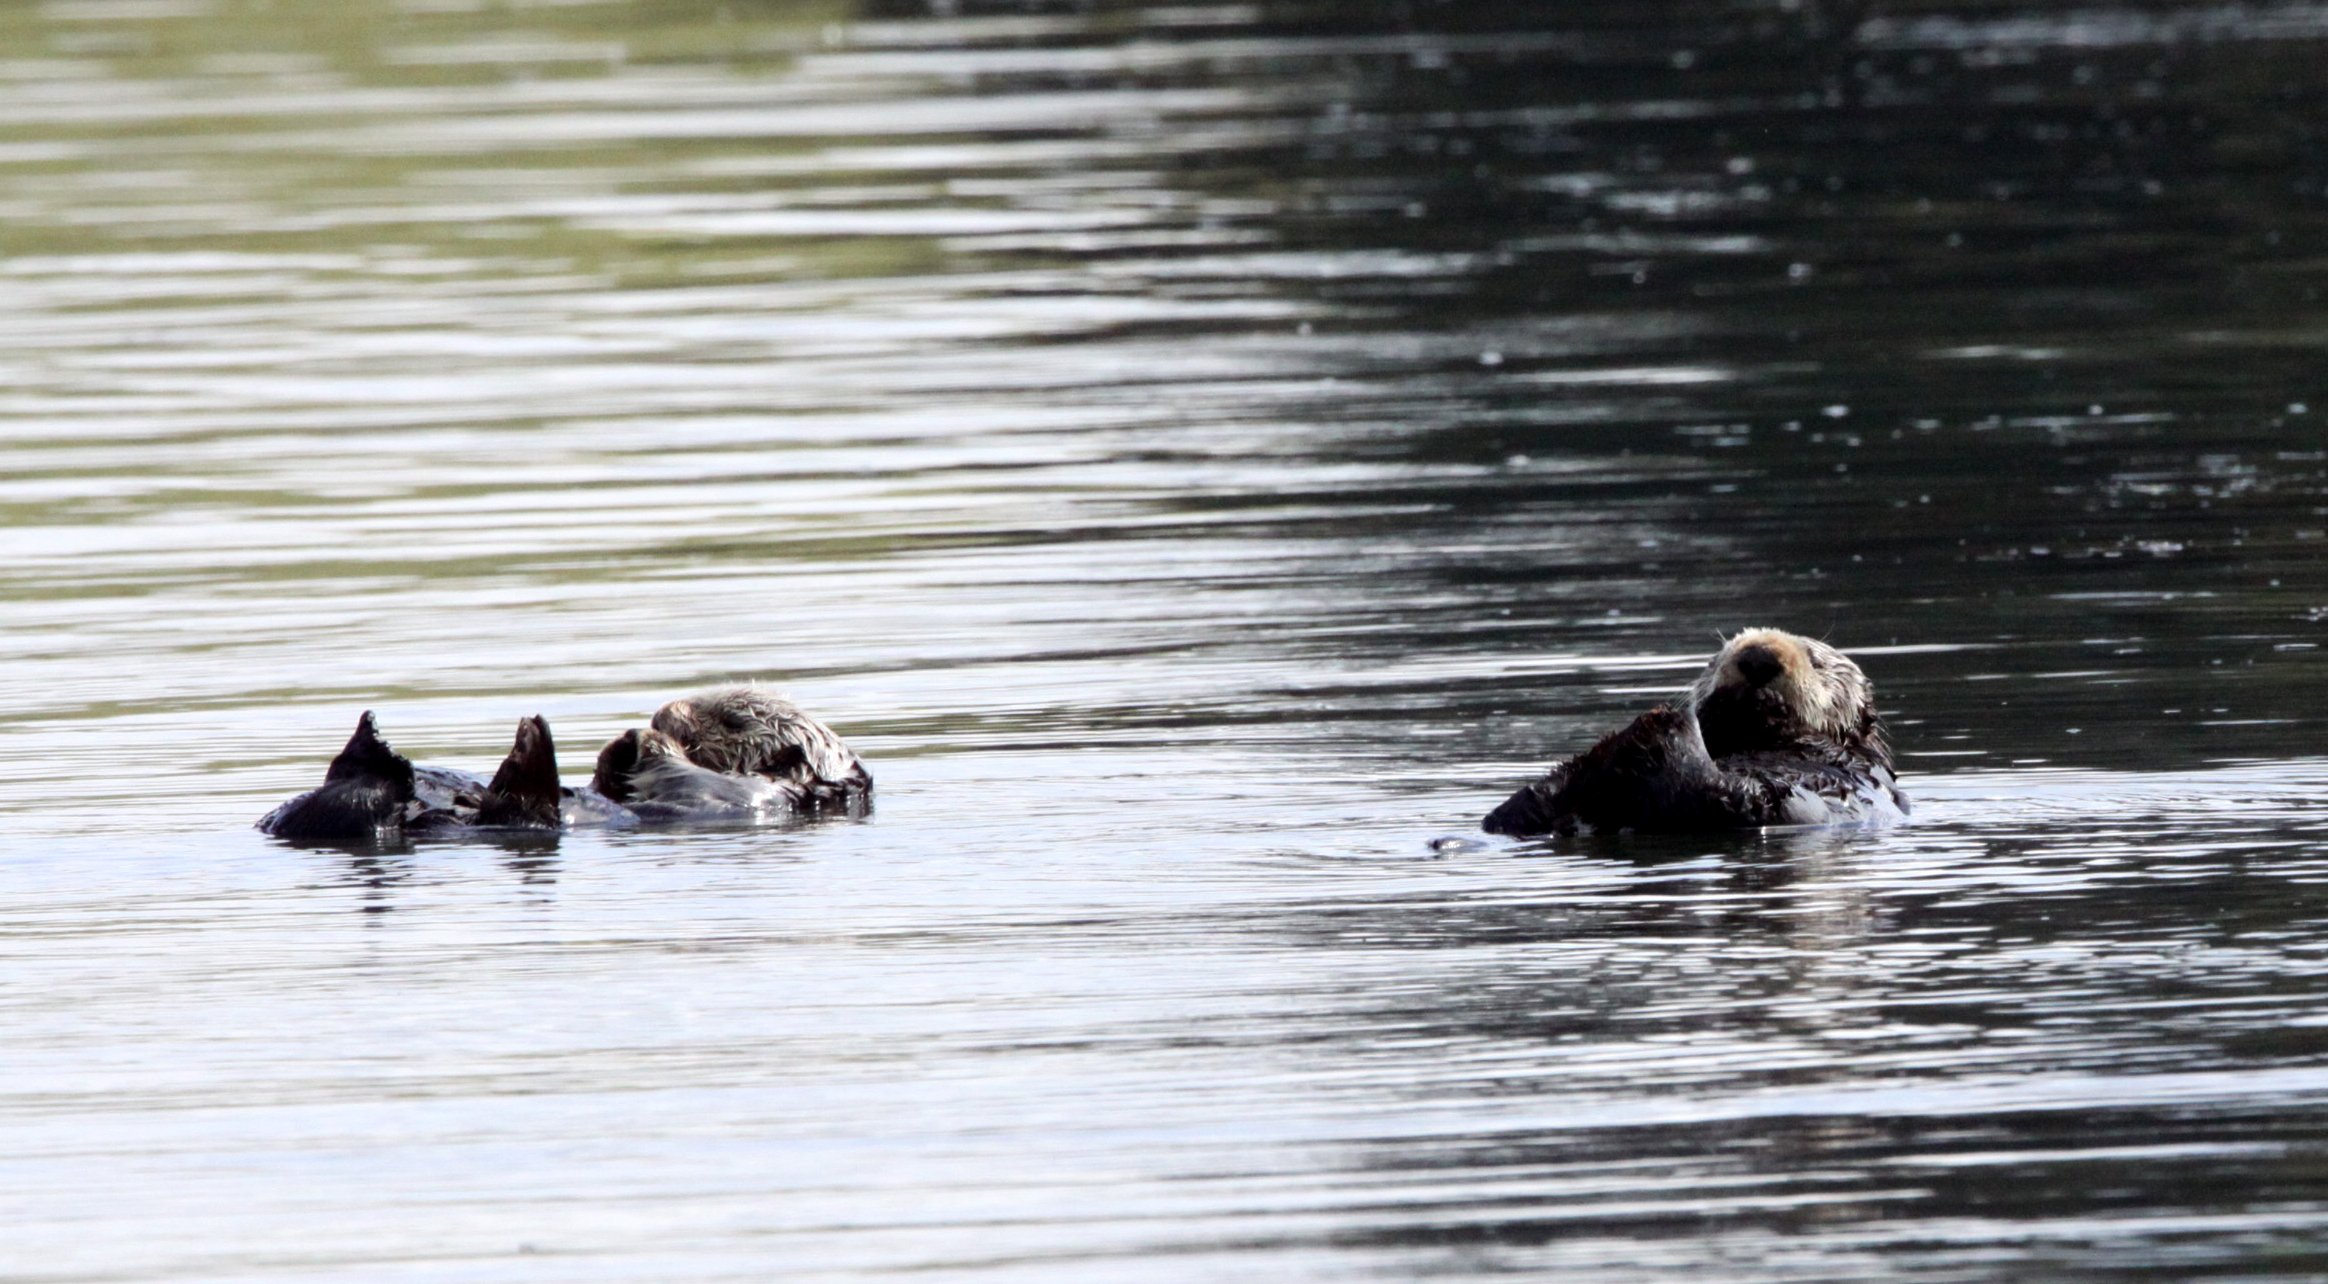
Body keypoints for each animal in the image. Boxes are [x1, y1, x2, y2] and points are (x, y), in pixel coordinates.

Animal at [1483, 629, 1908, 837]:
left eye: (1816, 661)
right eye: (1715, 660)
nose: (1757, 657)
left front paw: (1762, 704)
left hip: (1739, 804)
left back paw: (1655, 726)